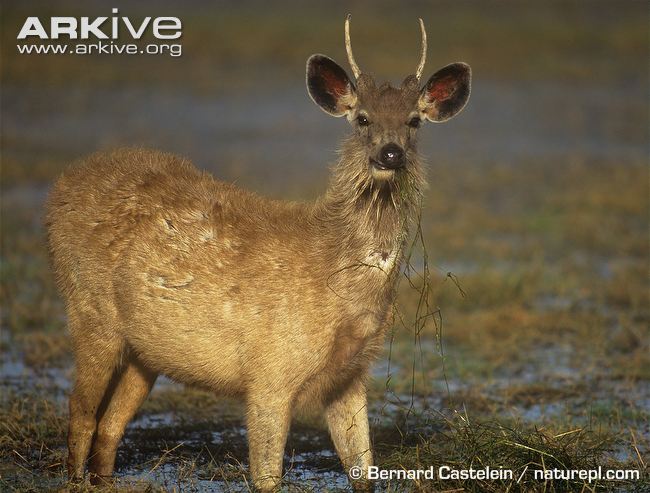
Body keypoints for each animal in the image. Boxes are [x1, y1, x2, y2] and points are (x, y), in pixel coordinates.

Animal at [45, 16, 471, 492]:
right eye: (362, 118)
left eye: (414, 121)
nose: (390, 152)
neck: (338, 281)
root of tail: (61, 186)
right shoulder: (270, 370)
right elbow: (267, 477)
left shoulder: (350, 375)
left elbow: (363, 468)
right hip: (89, 309)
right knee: (81, 413)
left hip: (144, 350)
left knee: (110, 424)